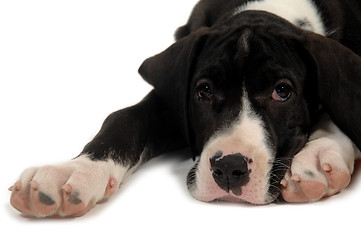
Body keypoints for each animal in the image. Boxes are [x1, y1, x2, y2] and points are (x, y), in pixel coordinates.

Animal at [8, 0, 360, 218]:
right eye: (203, 91)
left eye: (282, 92)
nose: (230, 168)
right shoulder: (170, 98)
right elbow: (123, 119)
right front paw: (74, 171)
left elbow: (337, 107)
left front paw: (318, 154)